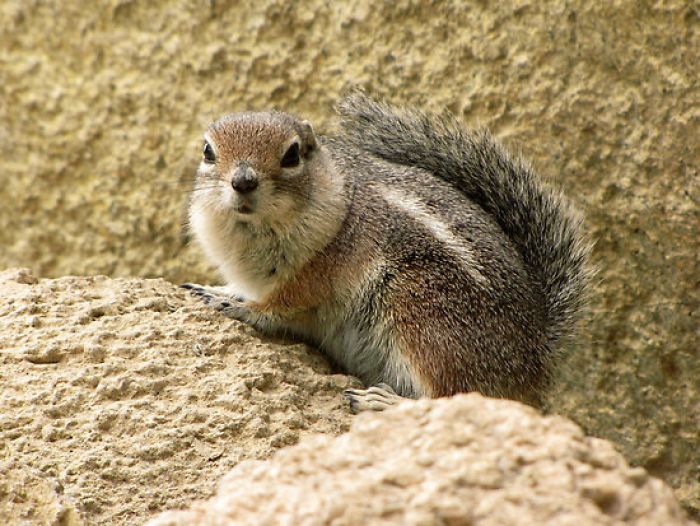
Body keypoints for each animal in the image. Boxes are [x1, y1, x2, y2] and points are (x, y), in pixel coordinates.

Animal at [182, 92, 592, 412]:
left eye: (292, 154)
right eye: (208, 151)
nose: (243, 180)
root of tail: (534, 360)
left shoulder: (322, 270)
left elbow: (279, 305)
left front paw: (234, 303)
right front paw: (220, 289)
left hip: (422, 310)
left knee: (451, 395)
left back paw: (383, 401)